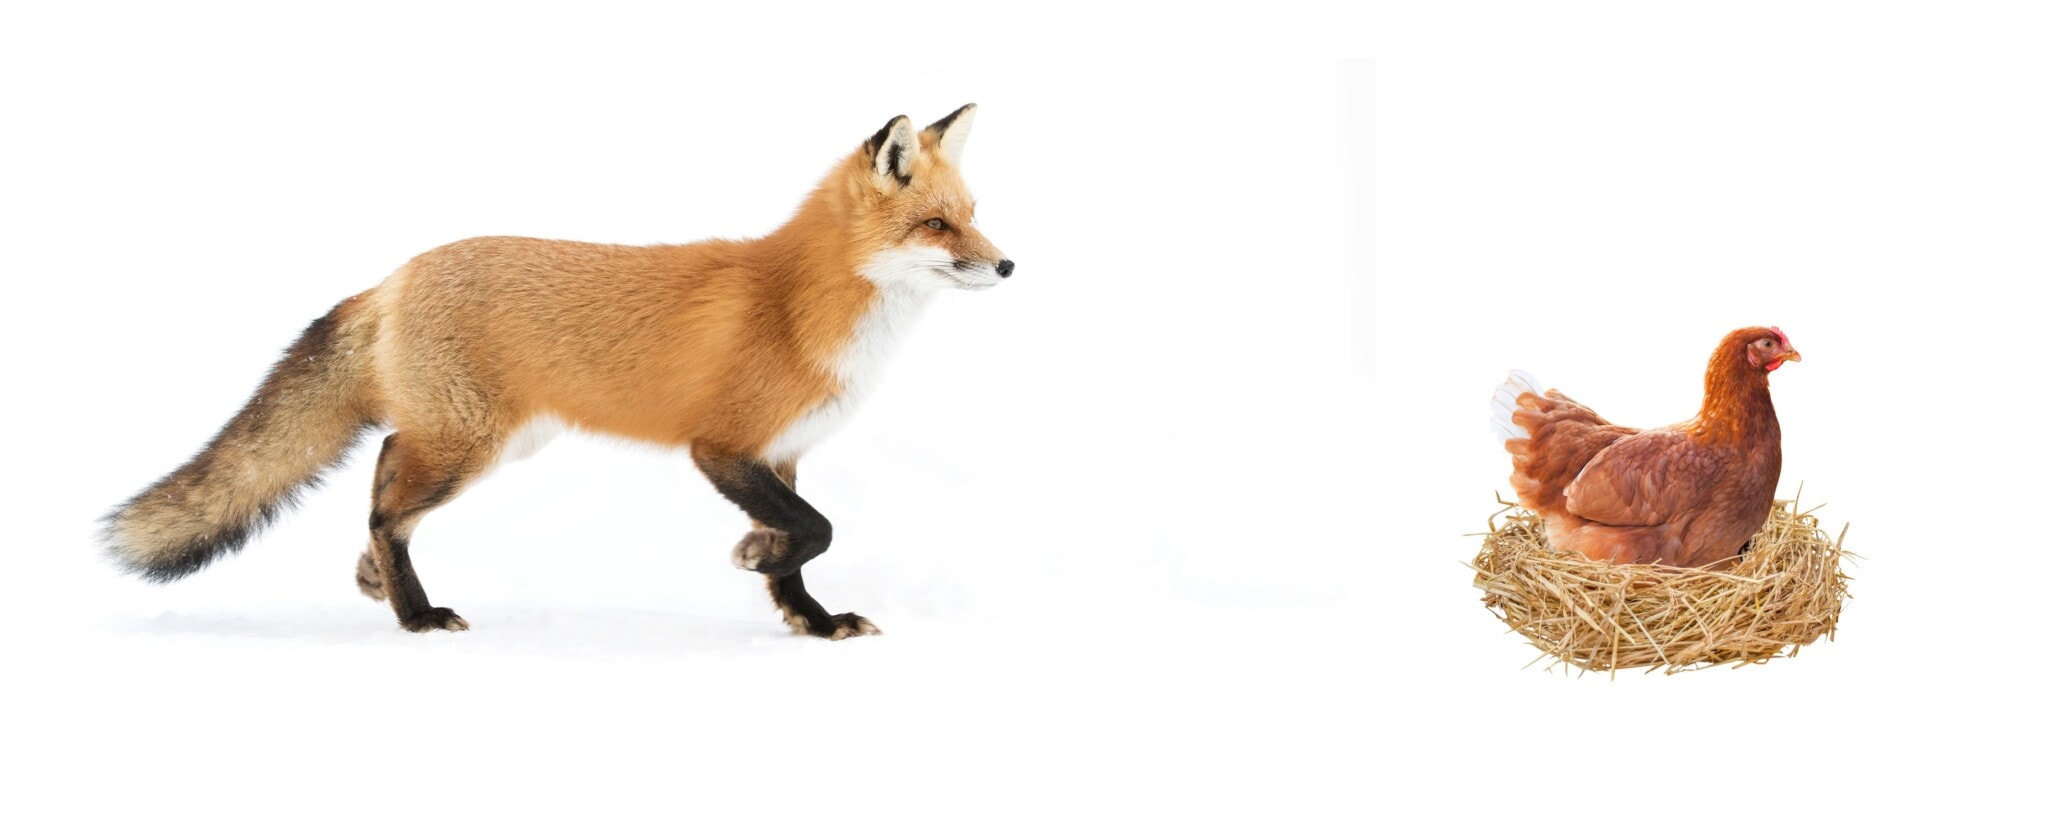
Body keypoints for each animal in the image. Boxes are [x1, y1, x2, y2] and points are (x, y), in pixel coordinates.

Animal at [101, 104, 1011, 640]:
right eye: (936, 226)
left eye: (973, 218)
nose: (1007, 266)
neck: (801, 304)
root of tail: (395, 275)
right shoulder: (723, 447)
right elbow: (814, 530)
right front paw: (757, 556)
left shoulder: (783, 453)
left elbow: (803, 548)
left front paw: (811, 620)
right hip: (467, 446)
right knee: (388, 498)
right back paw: (413, 612)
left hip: (495, 442)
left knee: (386, 478)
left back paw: (378, 585)